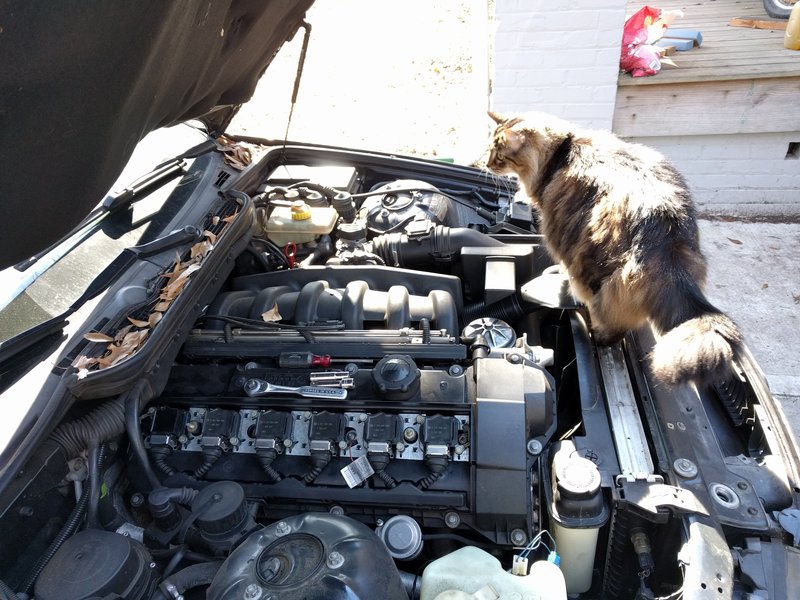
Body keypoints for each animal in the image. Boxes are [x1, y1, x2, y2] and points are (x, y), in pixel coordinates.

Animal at [488, 112, 744, 384]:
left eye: (499, 154)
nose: (485, 163)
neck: (563, 150)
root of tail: (664, 238)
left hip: (592, 270)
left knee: (610, 320)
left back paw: (594, 335)